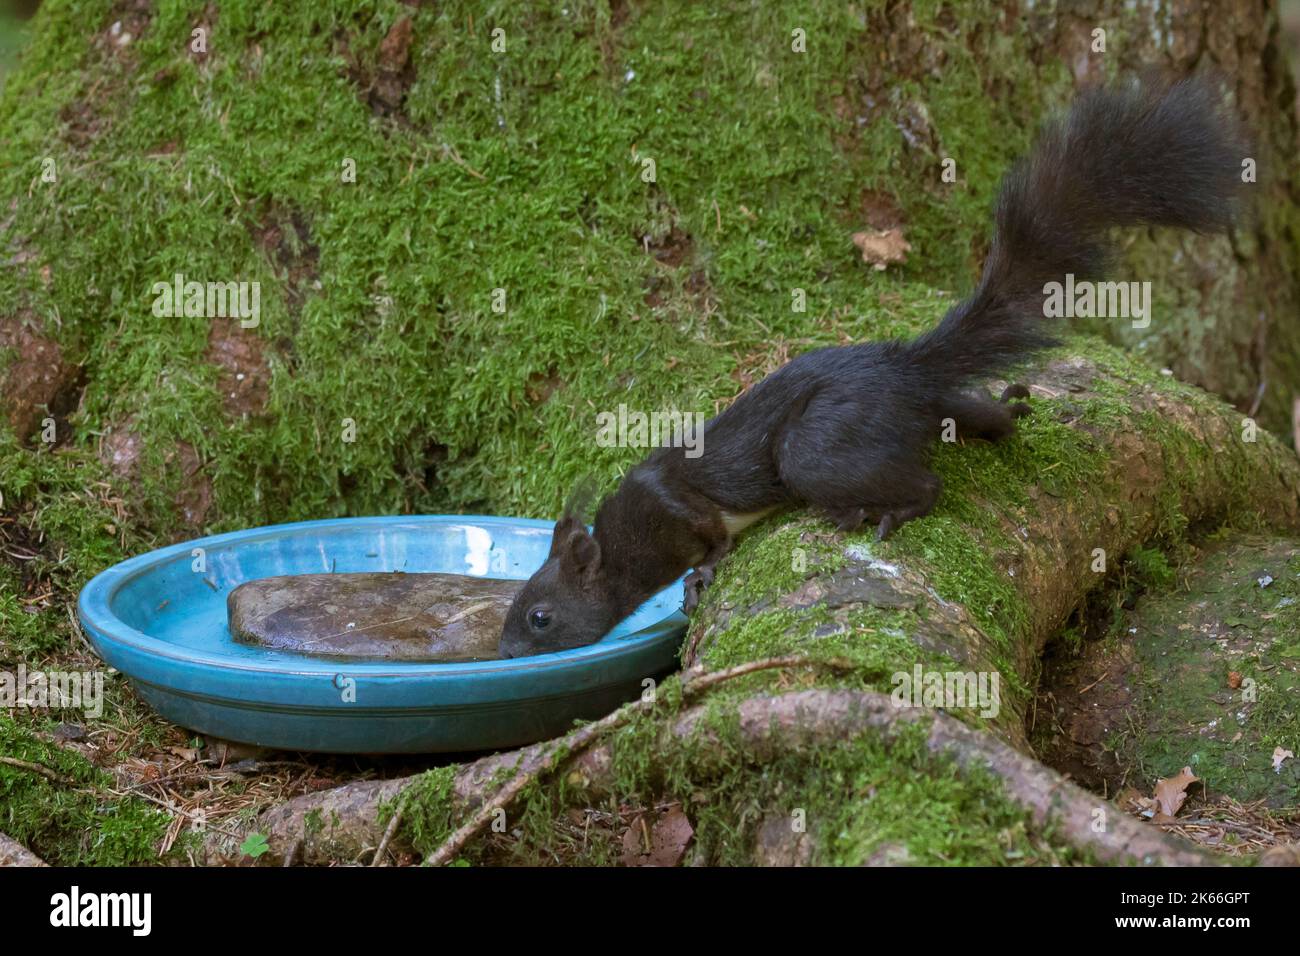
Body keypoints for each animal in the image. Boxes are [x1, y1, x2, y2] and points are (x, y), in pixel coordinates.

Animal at [498, 75, 1246, 659]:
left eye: (539, 616)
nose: (502, 650)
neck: (623, 548)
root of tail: (904, 370)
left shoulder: (671, 503)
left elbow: (708, 534)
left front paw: (701, 574)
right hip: (925, 409)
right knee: (969, 416)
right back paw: (1005, 412)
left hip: (820, 444)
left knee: (919, 481)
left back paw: (887, 510)